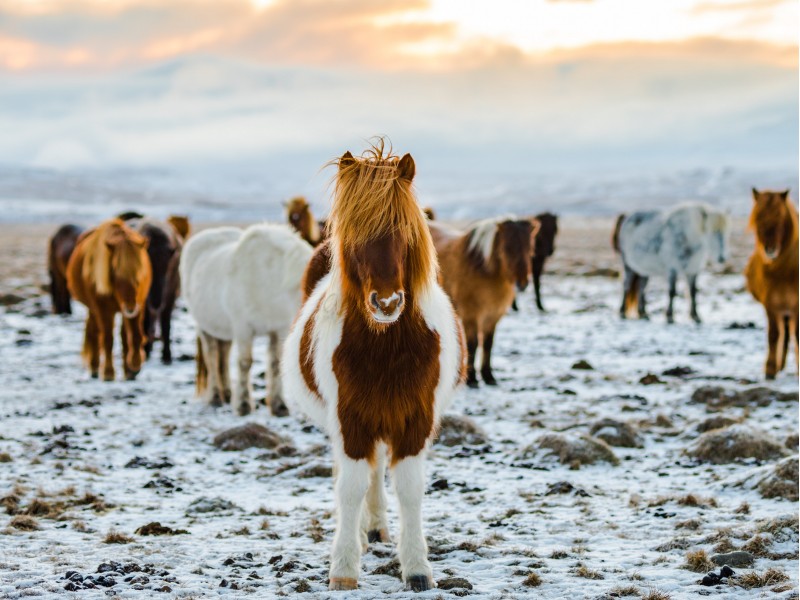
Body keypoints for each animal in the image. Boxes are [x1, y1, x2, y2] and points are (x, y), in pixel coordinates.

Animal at [65, 219, 152, 380]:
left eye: (139, 274)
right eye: (115, 273)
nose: (130, 307)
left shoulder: (139, 305)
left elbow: (134, 335)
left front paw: (135, 365)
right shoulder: (103, 309)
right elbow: (107, 339)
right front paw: (108, 372)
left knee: (122, 336)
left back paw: (127, 371)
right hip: (94, 308)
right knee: (94, 332)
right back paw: (94, 367)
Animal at [180, 223, 314, 414]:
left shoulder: (279, 328)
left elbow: (275, 364)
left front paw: (279, 405)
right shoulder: (243, 328)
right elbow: (245, 363)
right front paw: (243, 404)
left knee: (223, 356)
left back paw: (227, 393)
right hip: (204, 327)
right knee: (212, 357)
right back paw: (215, 397)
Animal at [284, 143, 466, 592]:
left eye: (405, 232)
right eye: (354, 236)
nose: (386, 303)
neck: (385, 348)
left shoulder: (414, 420)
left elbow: (410, 489)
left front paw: (417, 567)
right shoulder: (350, 420)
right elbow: (349, 488)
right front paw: (345, 568)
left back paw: (376, 529)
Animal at [432, 216, 536, 390]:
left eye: (530, 248)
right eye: (507, 248)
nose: (522, 284)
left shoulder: (493, 316)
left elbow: (488, 344)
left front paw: (489, 376)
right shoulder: (471, 315)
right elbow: (473, 344)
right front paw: (472, 379)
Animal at [744, 190, 800, 378]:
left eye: (780, 216)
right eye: (758, 218)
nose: (770, 249)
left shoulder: (795, 305)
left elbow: (797, 334)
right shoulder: (771, 303)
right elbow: (773, 334)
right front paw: (770, 369)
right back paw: (780, 365)